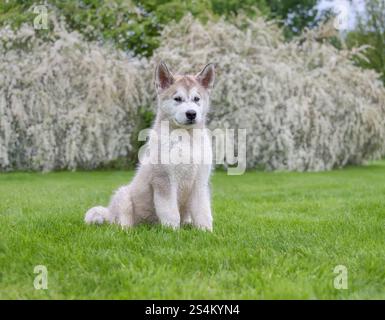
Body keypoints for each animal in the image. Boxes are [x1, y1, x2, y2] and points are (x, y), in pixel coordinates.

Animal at [84, 62, 214, 231]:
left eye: (196, 98)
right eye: (177, 99)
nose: (191, 113)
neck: (186, 139)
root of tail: (108, 212)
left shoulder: (200, 182)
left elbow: (203, 211)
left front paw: (206, 232)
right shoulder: (164, 180)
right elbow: (170, 212)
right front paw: (172, 232)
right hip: (123, 195)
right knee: (122, 221)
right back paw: (127, 230)